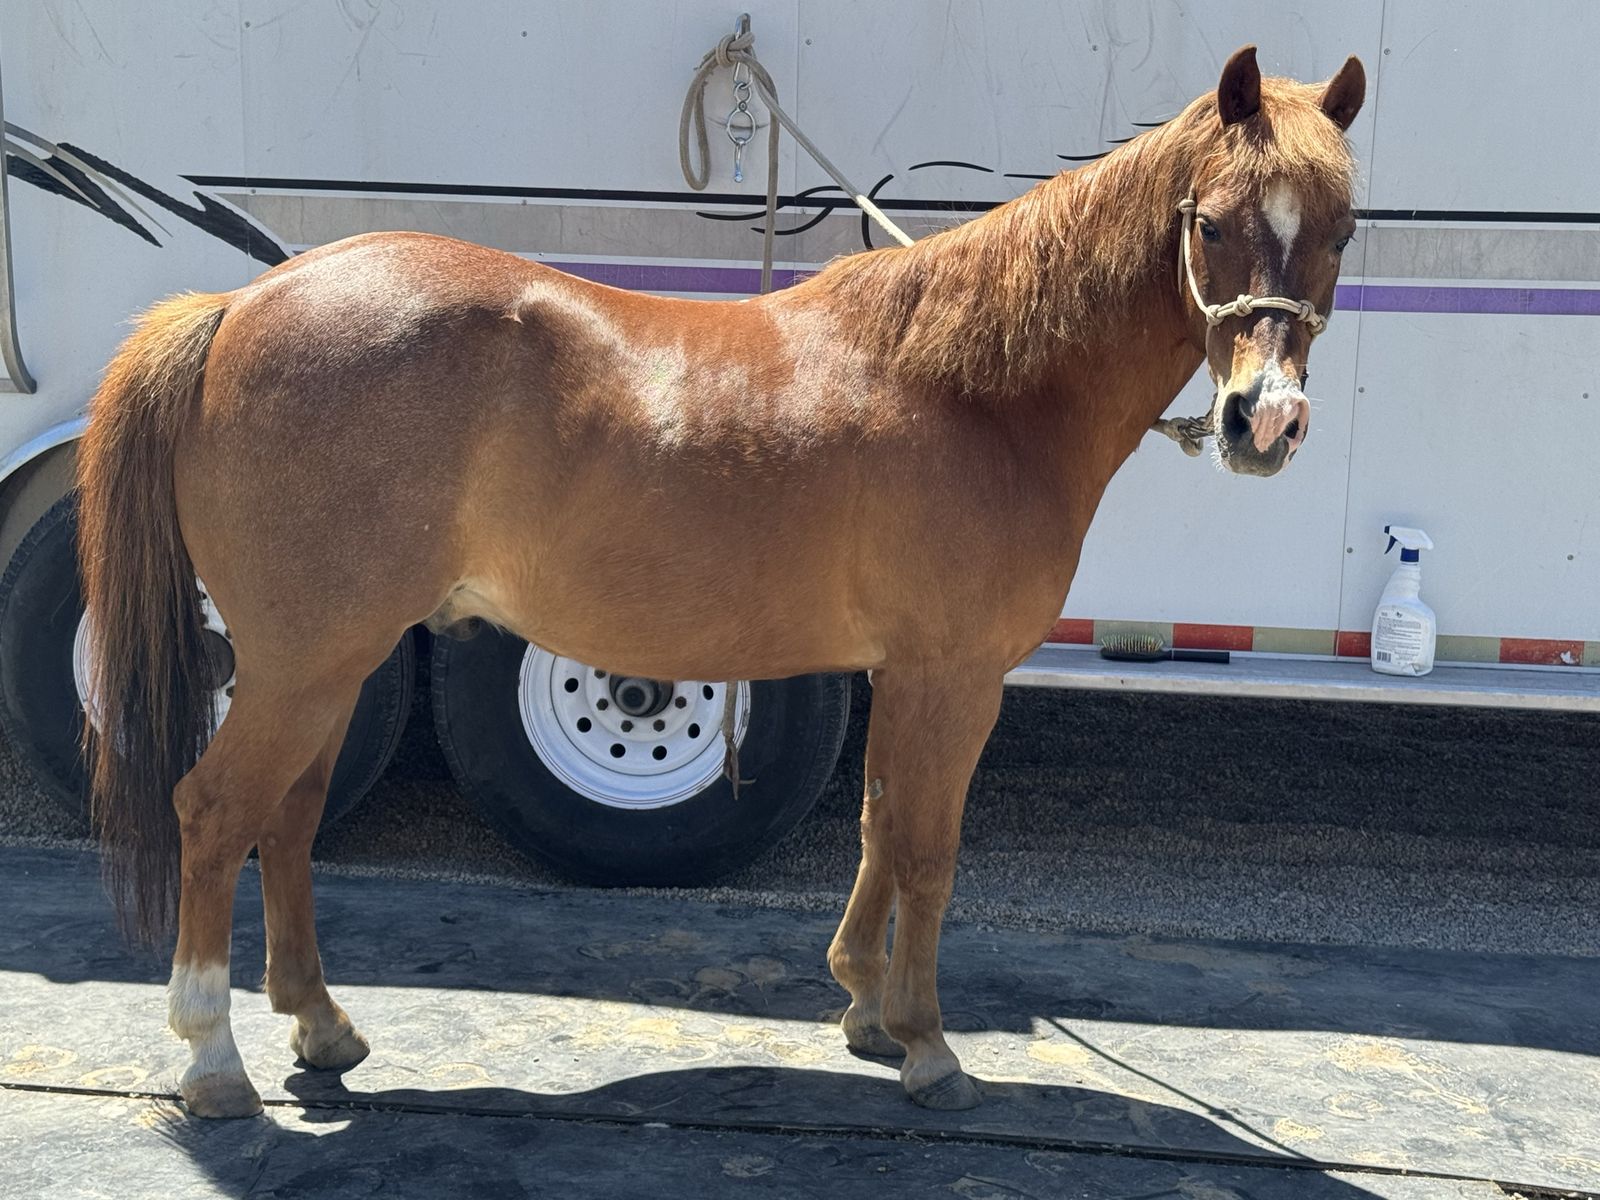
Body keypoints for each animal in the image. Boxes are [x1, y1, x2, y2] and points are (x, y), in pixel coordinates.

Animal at [76, 46, 1364, 1118]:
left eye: (1345, 229)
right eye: (1209, 223)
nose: (1264, 421)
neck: (976, 388)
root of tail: (239, 305)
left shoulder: (901, 673)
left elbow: (878, 823)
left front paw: (862, 1006)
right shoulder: (954, 677)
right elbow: (927, 848)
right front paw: (926, 1044)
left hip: (329, 660)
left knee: (286, 822)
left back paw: (321, 1028)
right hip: (303, 661)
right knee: (214, 814)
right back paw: (211, 1060)